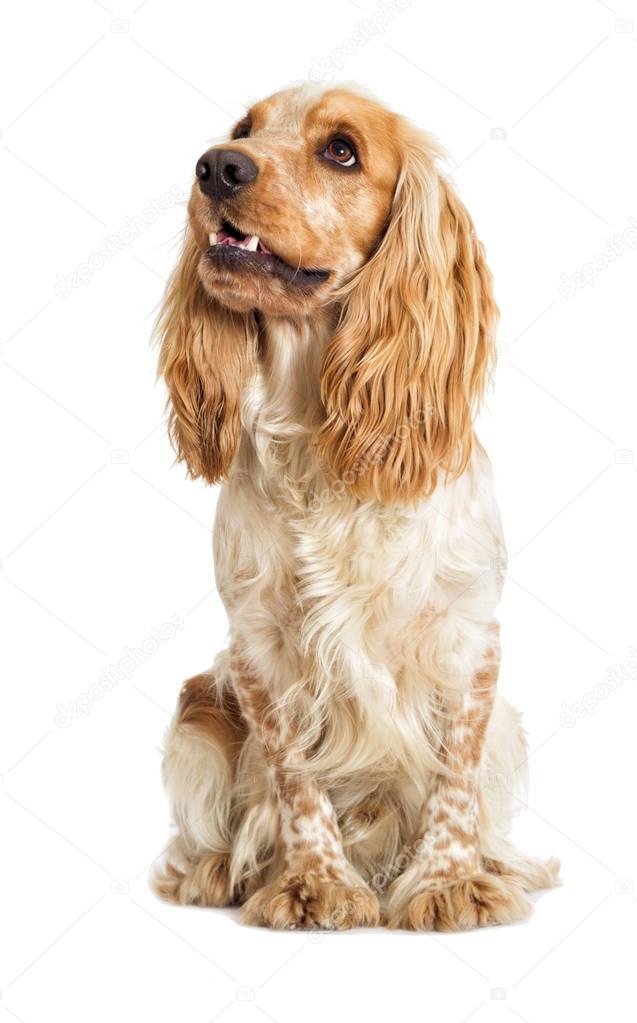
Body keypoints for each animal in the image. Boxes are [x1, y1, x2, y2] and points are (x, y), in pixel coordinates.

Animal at [153, 81, 556, 928]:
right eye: (244, 128)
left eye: (341, 150)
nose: (217, 165)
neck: (319, 431)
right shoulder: (260, 648)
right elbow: (294, 779)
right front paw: (314, 882)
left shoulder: (467, 641)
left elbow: (453, 779)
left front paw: (448, 882)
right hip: (197, 714)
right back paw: (216, 869)